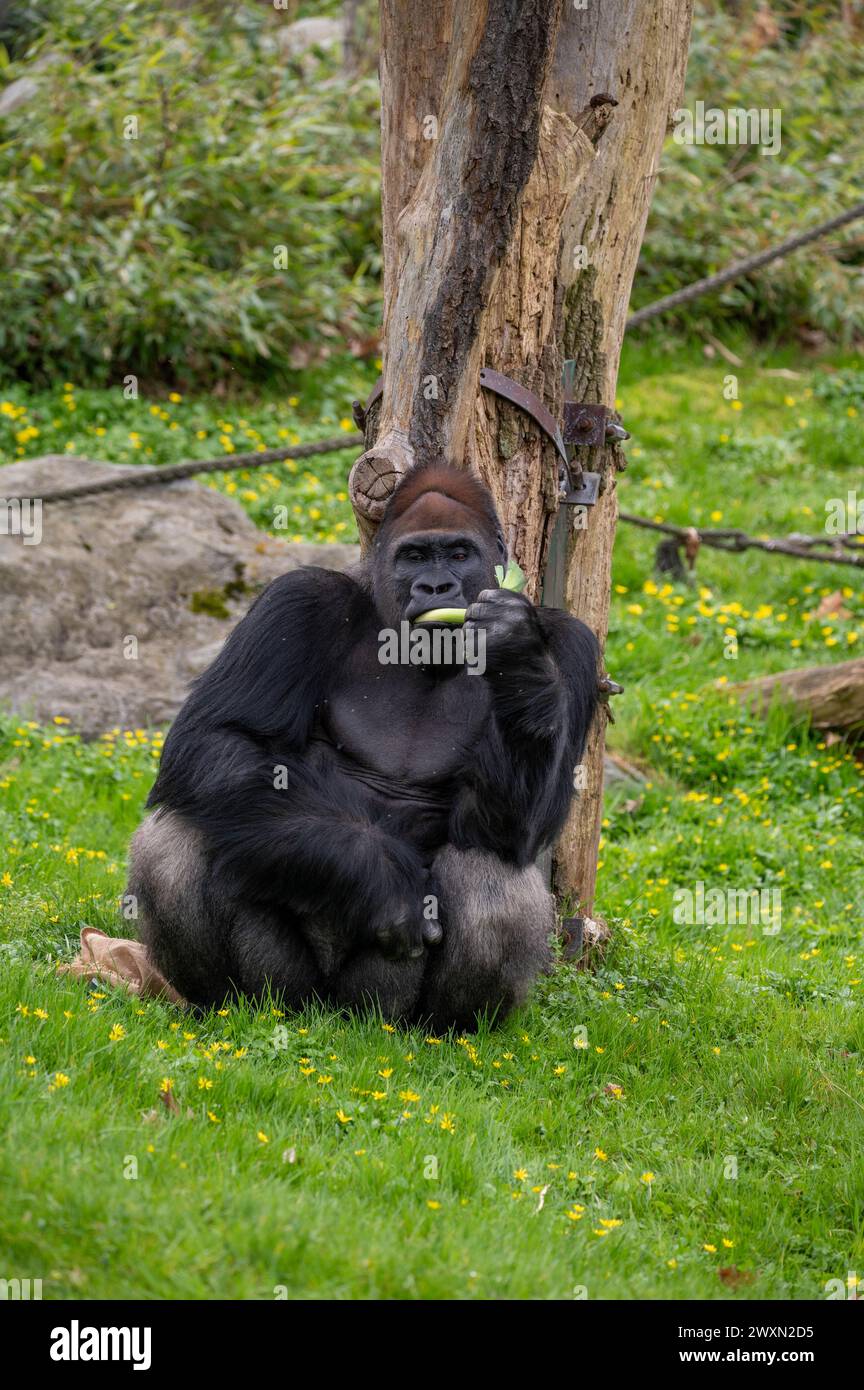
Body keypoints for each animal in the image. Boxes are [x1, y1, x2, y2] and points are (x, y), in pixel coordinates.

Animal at [128, 467, 600, 1034]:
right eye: (414, 556)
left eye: (458, 553)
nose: (436, 587)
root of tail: (335, 1018)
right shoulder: (300, 600)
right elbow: (217, 738)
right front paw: (382, 880)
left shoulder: (574, 644)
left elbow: (520, 826)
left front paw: (517, 654)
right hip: (296, 995)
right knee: (187, 827)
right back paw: (221, 1003)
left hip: (375, 1008)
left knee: (489, 865)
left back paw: (448, 1030)